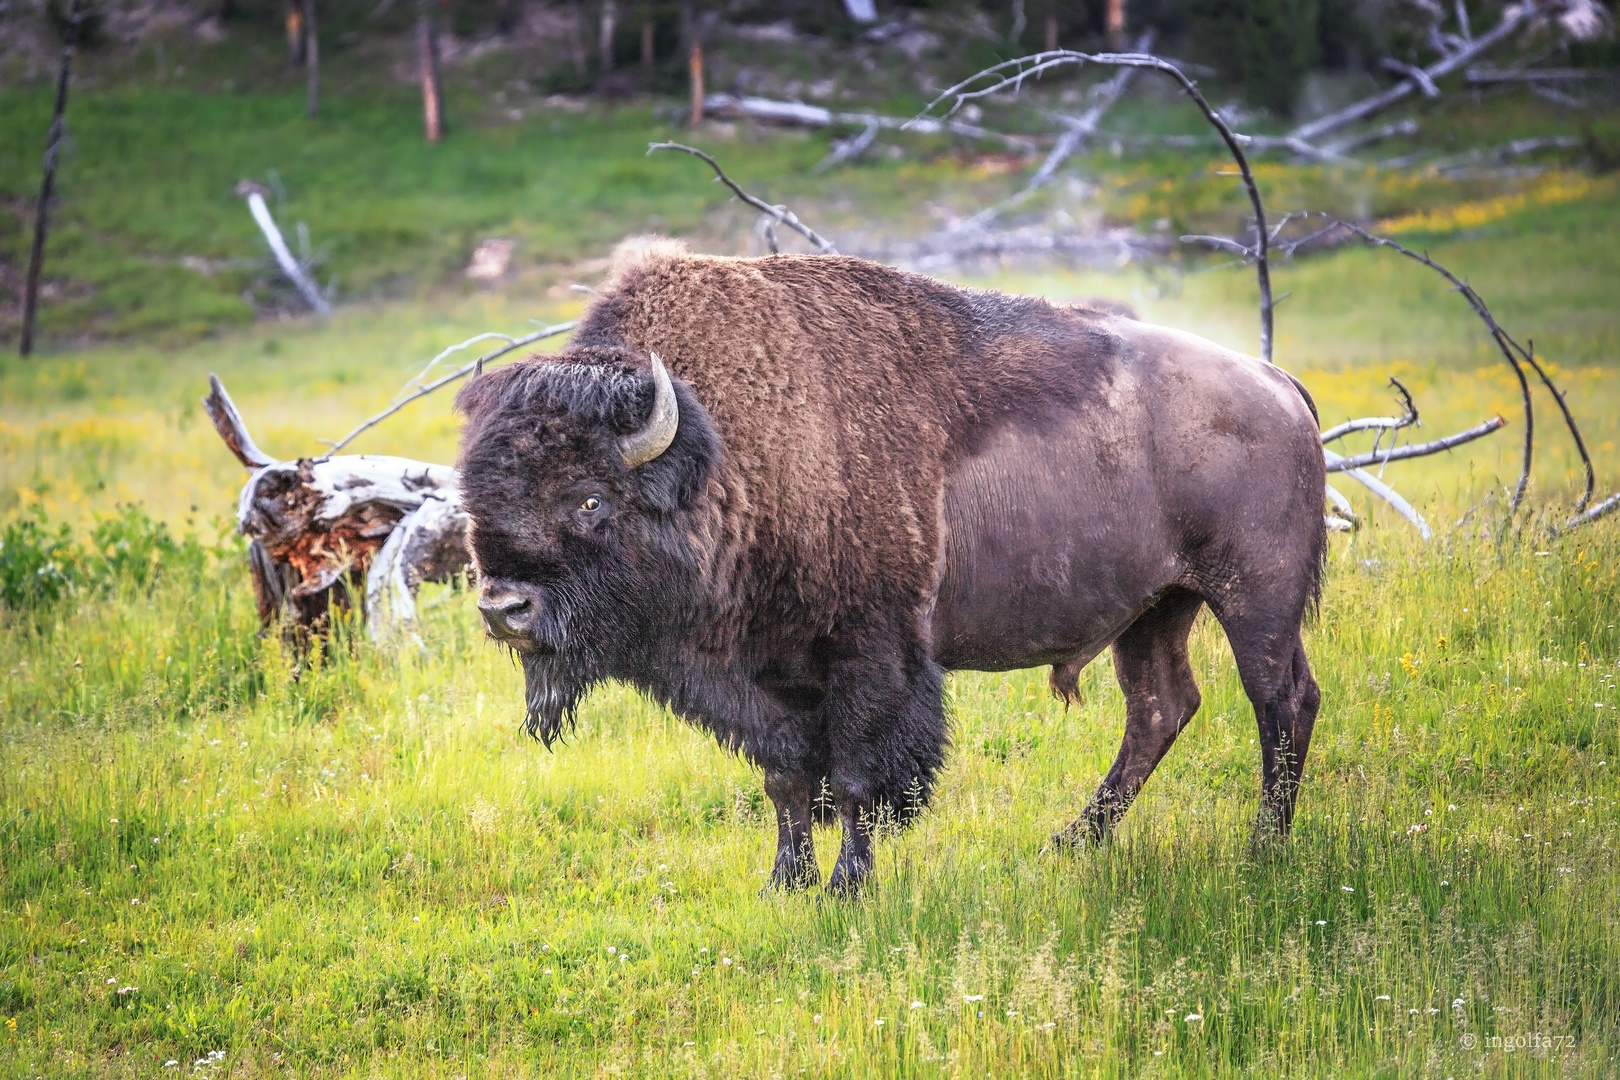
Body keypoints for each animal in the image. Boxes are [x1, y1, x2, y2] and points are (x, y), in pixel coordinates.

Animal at [453, 242, 1315, 893]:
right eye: (473, 498)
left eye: (590, 498)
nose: (504, 609)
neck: (724, 456)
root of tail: (1280, 386)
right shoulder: (769, 681)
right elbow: (788, 778)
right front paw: (784, 884)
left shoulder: (871, 657)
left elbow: (858, 778)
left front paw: (846, 887)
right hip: (1157, 608)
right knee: (1161, 708)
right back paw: (1072, 842)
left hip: (1255, 600)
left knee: (1281, 703)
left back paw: (1262, 849)